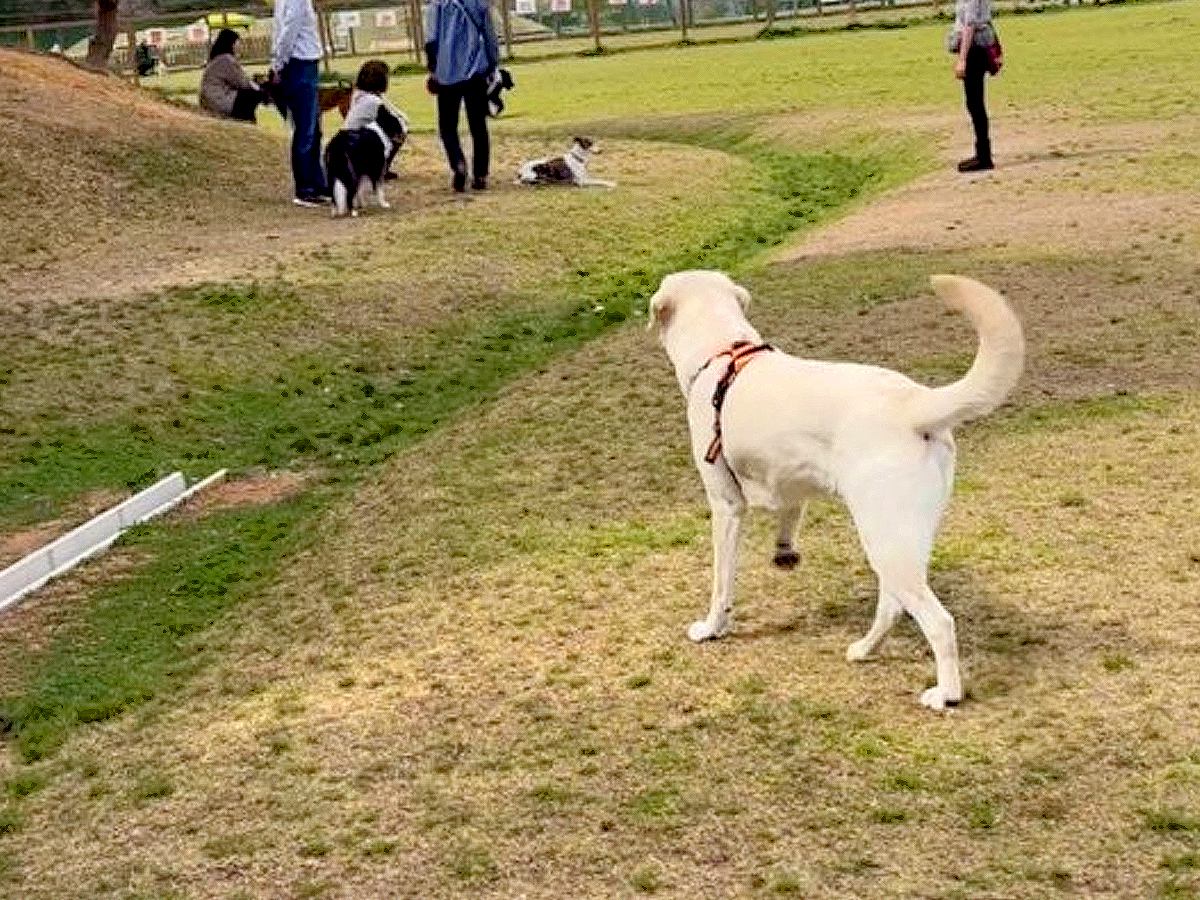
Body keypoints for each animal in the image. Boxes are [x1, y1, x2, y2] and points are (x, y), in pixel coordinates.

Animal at [652, 270, 1027, 710]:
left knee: (938, 622)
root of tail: (915, 403)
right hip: (898, 540)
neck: (723, 352)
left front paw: (712, 628)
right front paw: (784, 552)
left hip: (884, 538)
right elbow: (789, 510)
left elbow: (721, 584)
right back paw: (865, 649)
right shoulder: (787, 477)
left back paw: (946, 694)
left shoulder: (726, 505)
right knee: (893, 606)